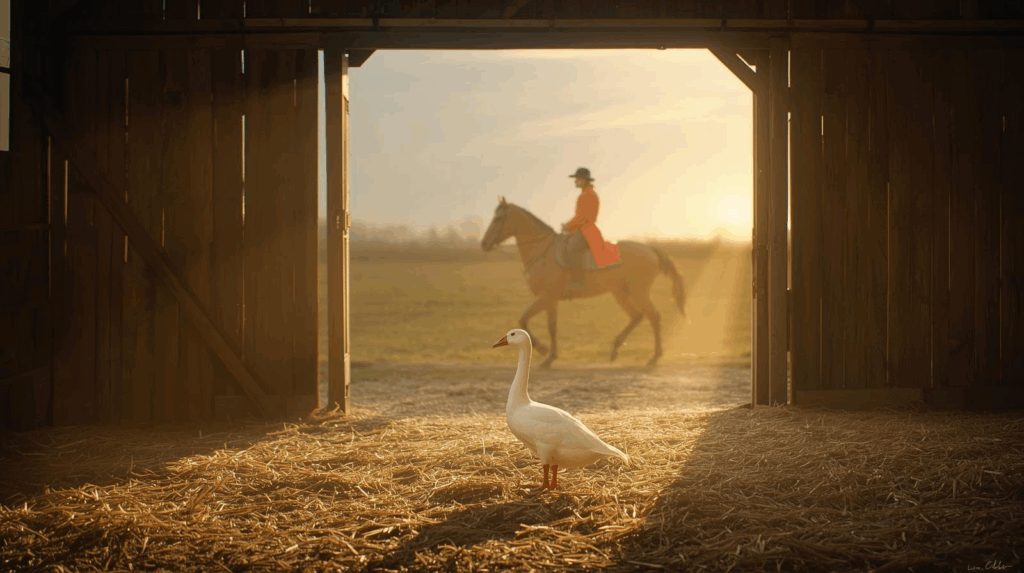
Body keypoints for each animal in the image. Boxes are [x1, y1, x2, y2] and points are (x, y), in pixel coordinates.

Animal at [480, 196, 687, 369]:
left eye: (498, 219)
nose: (484, 244)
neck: (543, 252)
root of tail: (651, 249)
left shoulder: (546, 296)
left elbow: (526, 321)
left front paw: (544, 351)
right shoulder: (550, 300)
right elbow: (548, 326)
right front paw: (549, 355)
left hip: (638, 293)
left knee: (653, 316)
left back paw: (654, 356)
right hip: (620, 293)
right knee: (637, 316)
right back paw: (615, 349)